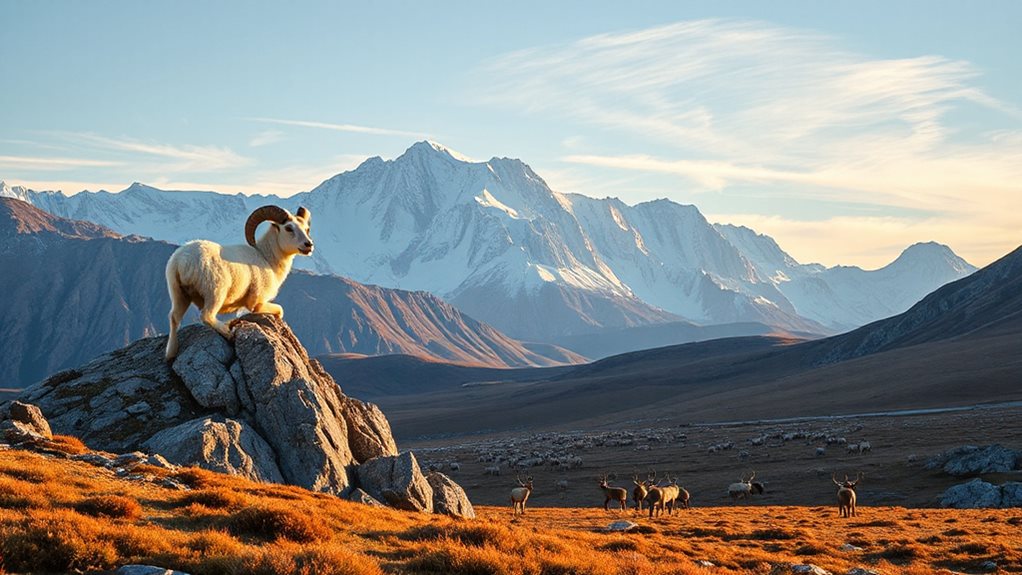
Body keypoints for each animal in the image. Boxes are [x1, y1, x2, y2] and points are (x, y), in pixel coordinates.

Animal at [164, 205, 314, 360]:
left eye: (306, 228)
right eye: (289, 228)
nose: (309, 245)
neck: (266, 258)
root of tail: (183, 261)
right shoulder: (256, 304)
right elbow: (280, 311)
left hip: (179, 294)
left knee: (174, 318)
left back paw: (170, 353)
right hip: (215, 293)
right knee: (206, 316)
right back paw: (228, 332)